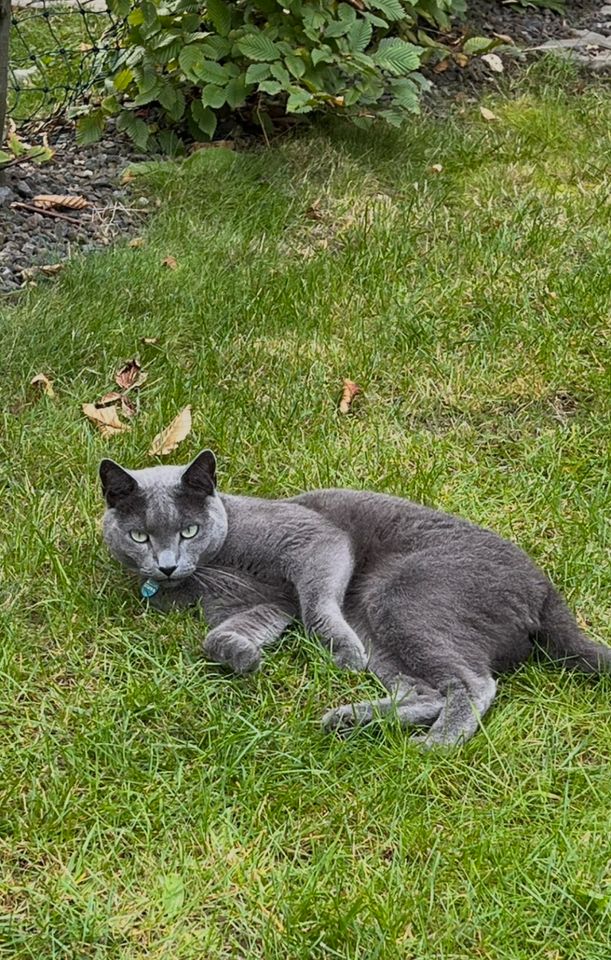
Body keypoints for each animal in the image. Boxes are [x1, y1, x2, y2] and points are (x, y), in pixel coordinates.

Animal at [99, 452, 608, 752]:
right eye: (140, 537)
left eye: (190, 531)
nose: (166, 566)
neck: (214, 568)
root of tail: (544, 589)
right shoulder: (260, 606)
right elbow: (221, 636)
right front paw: (244, 657)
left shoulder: (316, 540)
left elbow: (317, 602)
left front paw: (340, 653)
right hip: (378, 627)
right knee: (425, 691)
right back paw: (352, 721)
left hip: (397, 597)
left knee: (472, 684)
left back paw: (432, 745)